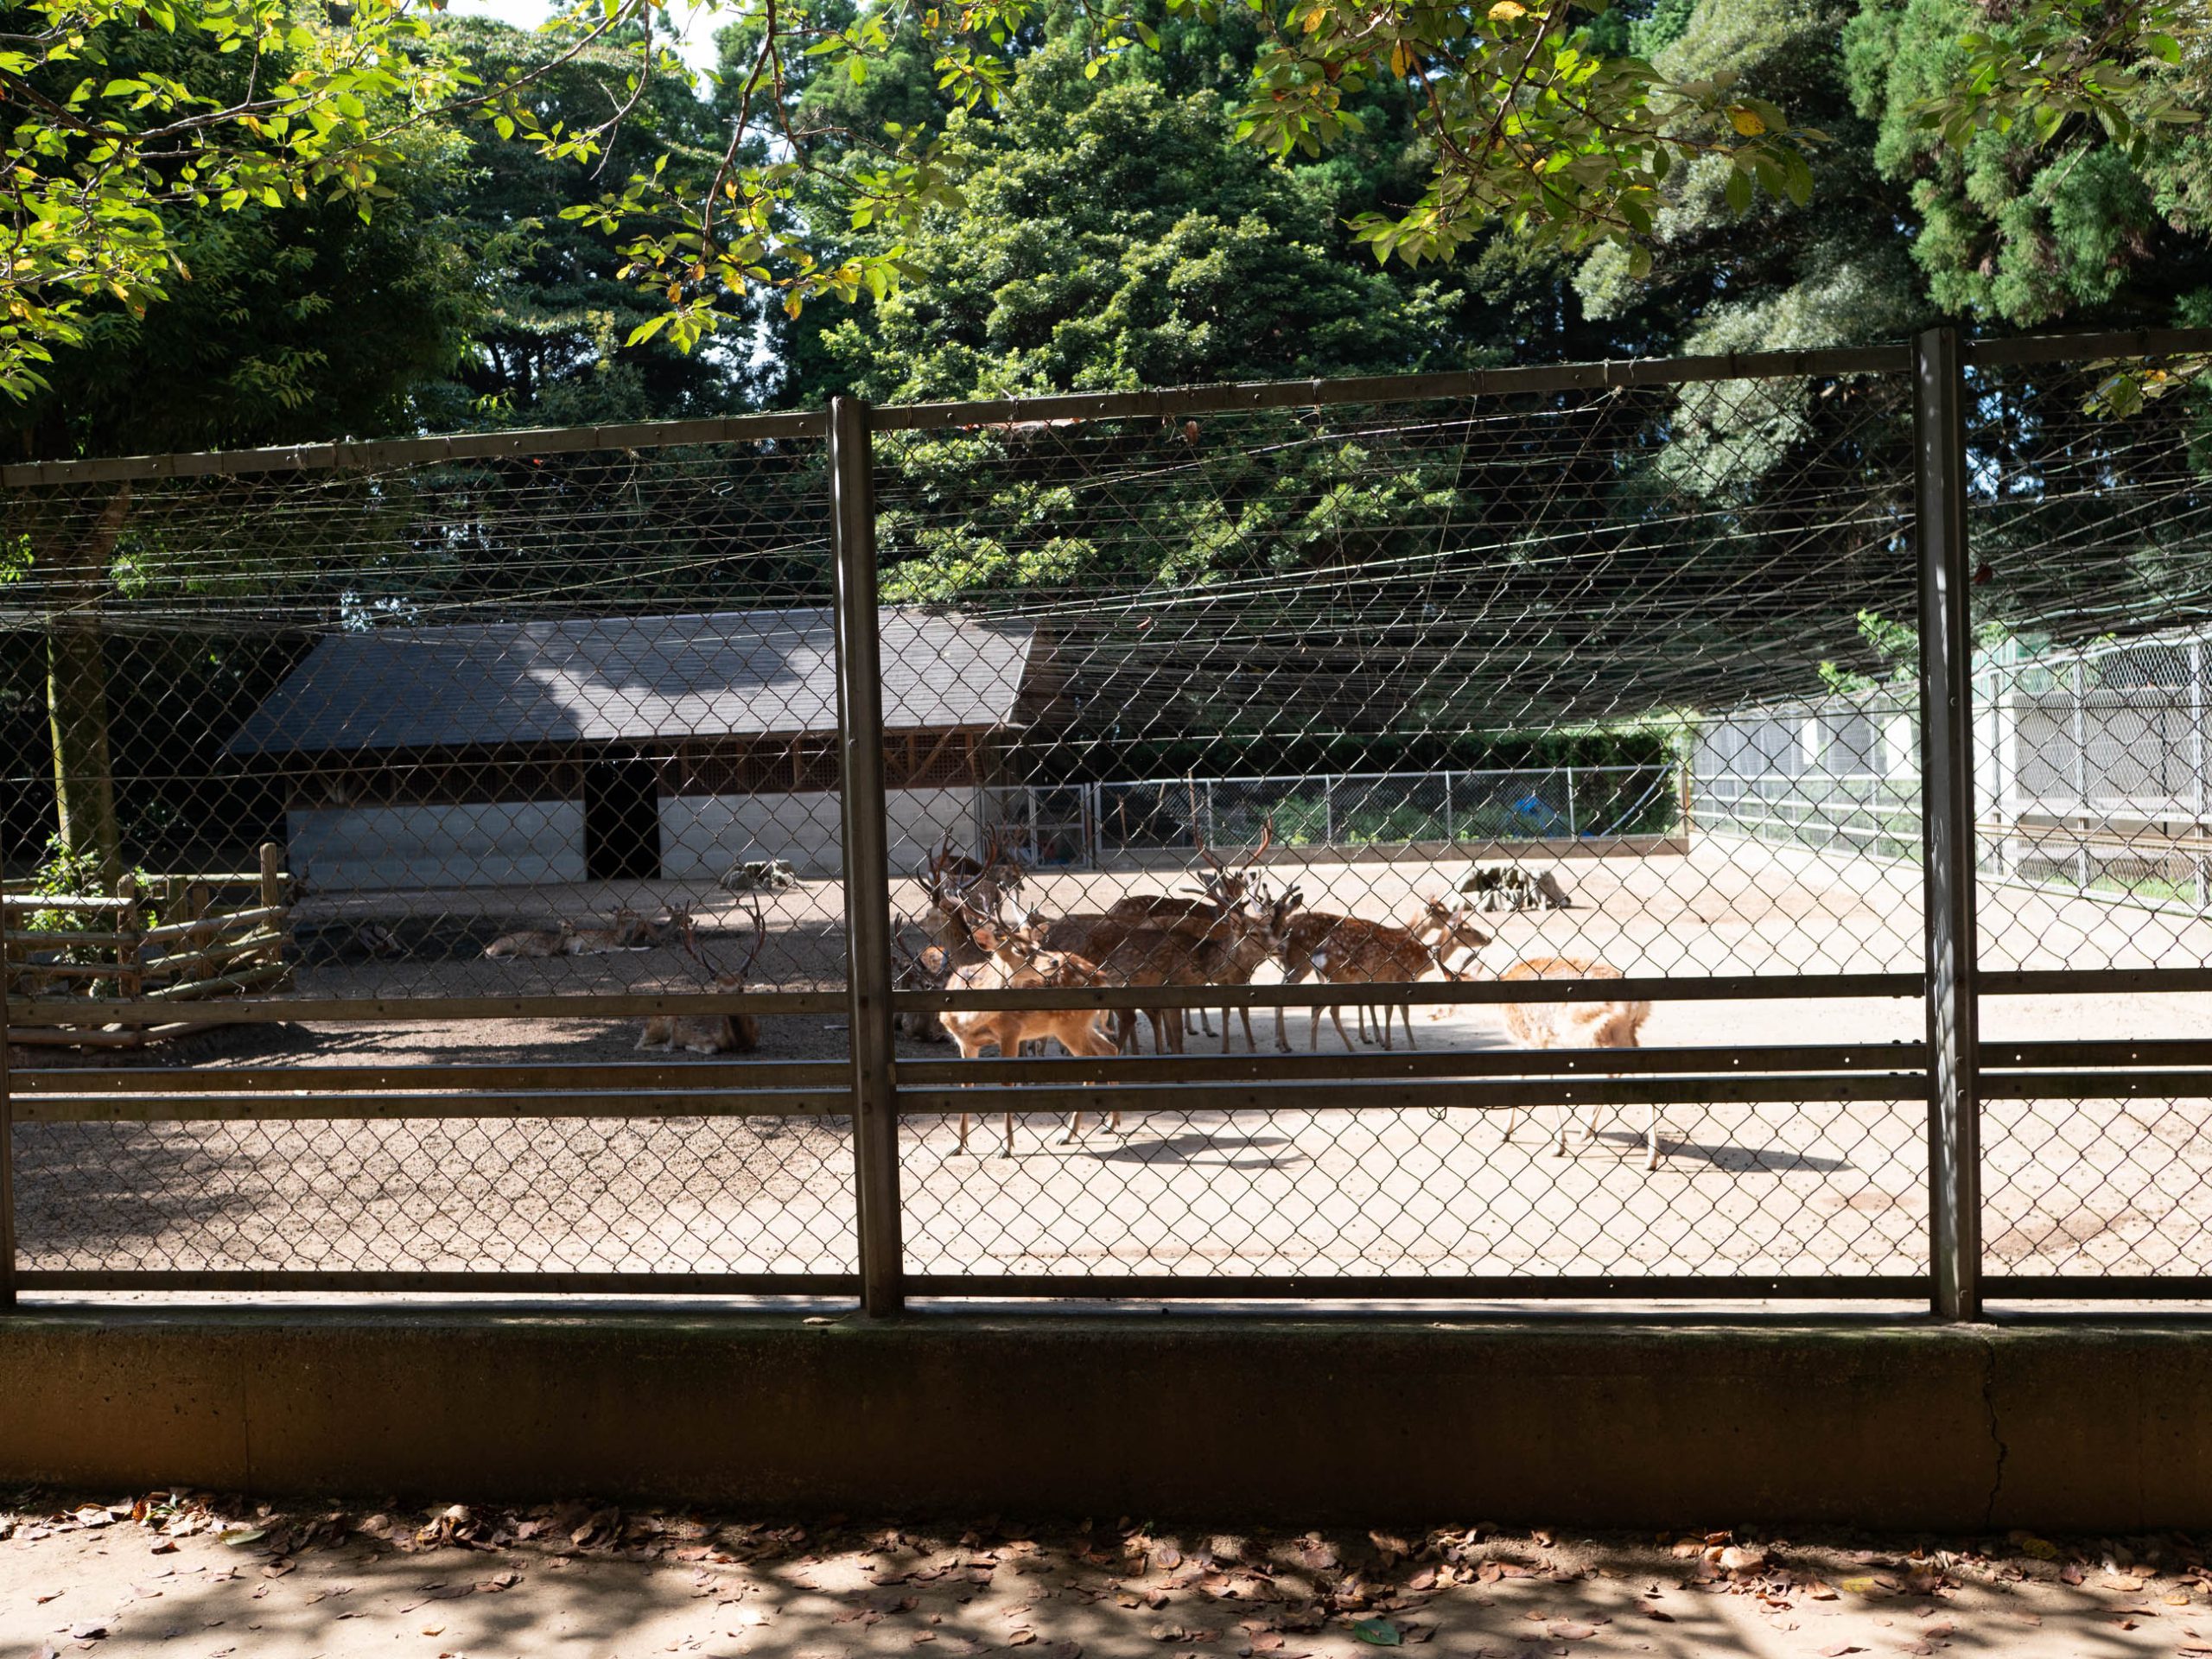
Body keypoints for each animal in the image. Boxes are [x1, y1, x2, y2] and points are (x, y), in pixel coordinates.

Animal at [641, 902, 769, 1057]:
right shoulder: (702, 1035)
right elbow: (712, 1048)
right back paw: (669, 1047)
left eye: (741, 988)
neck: (739, 1041)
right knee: (640, 1044)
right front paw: (688, 1046)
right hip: (662, 1022)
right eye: (719, 990)